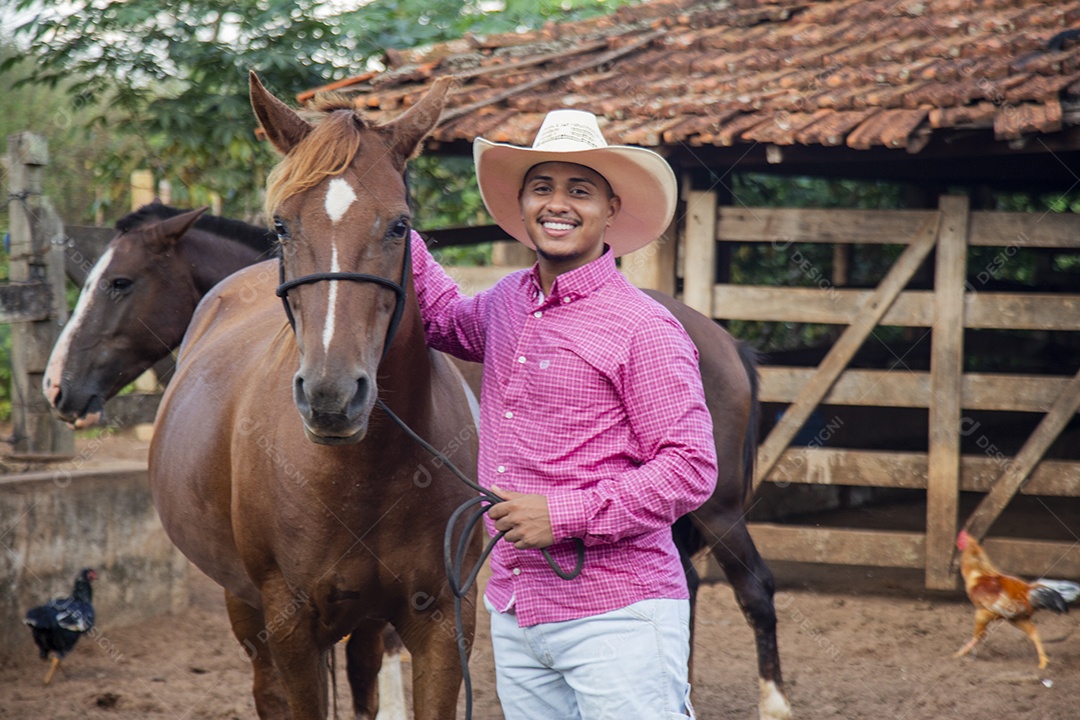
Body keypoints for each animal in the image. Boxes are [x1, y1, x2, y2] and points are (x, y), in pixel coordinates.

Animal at [148, 75, 479, 719]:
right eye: (281, 225)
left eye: (399, 225)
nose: (331, 394)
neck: (366, 469)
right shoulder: (290, 624)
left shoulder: (441, 624)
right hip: (245, 605)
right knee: (268, 691)